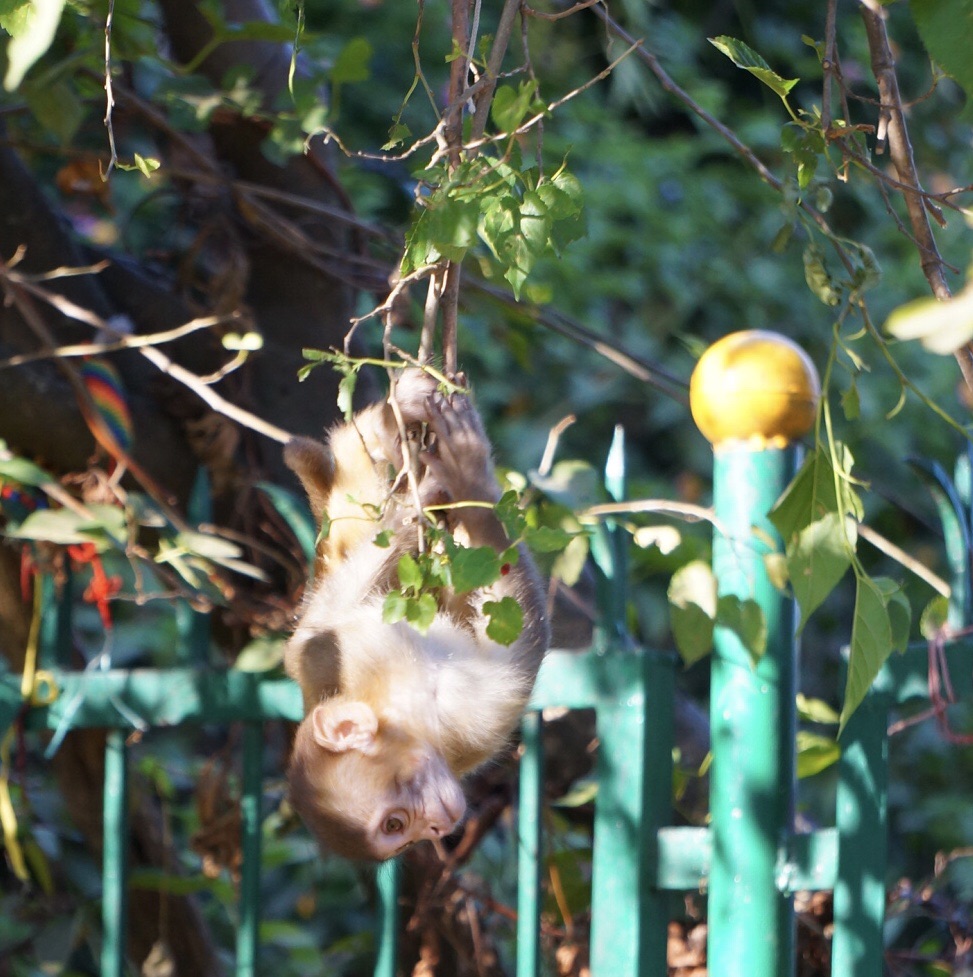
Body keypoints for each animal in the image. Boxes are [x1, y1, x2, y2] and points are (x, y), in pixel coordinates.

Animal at [284, 370, 552, 856]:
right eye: (397, 829)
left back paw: (391, 425)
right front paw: (470, 478)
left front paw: (453, 478)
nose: (435, 829)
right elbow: (520, 644)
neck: (394, 712)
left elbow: (304, 648)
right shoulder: (469, 719)